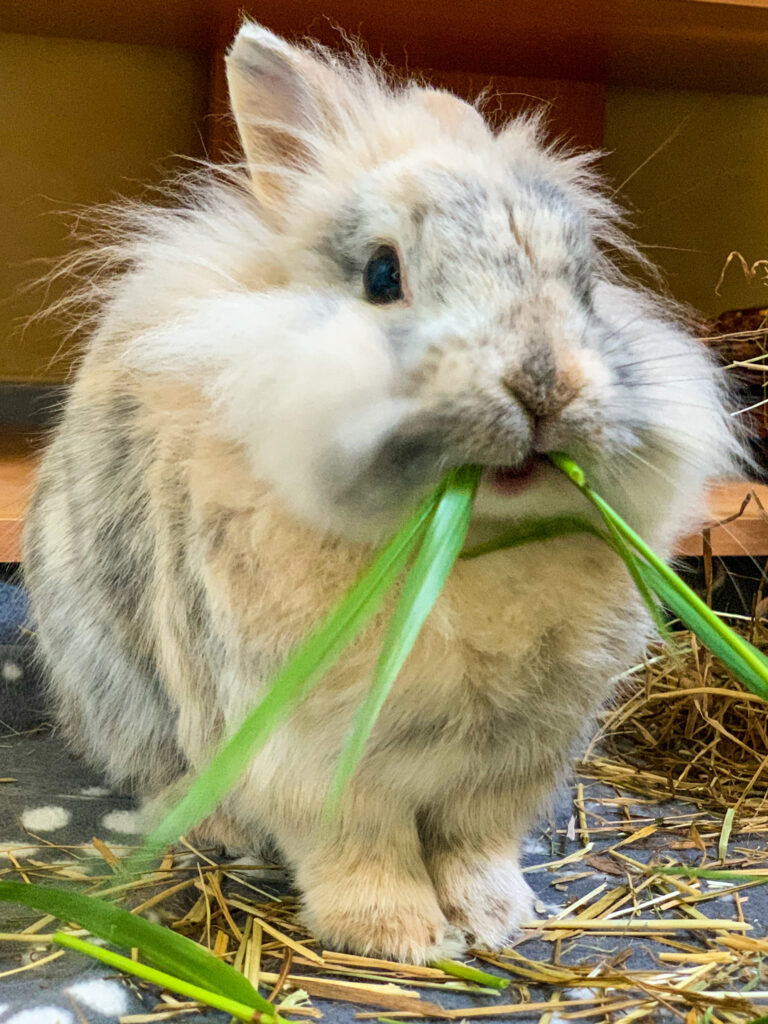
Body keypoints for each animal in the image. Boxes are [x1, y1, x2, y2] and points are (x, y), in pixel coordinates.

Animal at [25, 22, 741, 966]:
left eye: (585, 280)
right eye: (379, 275)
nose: (543, 385)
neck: (471, 545)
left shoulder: (510, 766)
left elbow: (475, 844)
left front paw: (493, 917)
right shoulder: (311, 758)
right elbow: (358, 849)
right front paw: (395, 937)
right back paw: (215, 827)